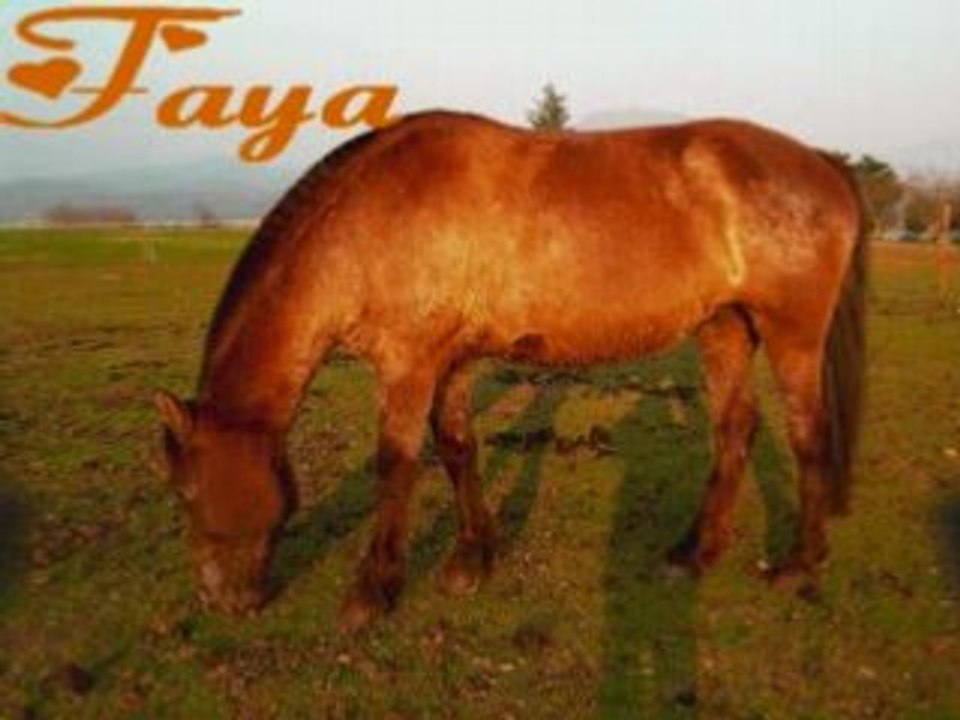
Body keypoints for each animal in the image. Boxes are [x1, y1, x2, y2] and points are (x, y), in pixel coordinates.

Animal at [154, 110, 866, 631]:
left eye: (185, 492)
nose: (220, 601)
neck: (371, 225)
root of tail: (822, 165)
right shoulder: (451, 361)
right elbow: (456, 449)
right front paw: (472, 558)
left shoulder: (408, 364)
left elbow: (395, 465)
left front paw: (373, 590)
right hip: (724, 328)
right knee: (734, 429)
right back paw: (695, 551)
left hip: (792, 335)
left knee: (806, 436)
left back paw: (799, 566)